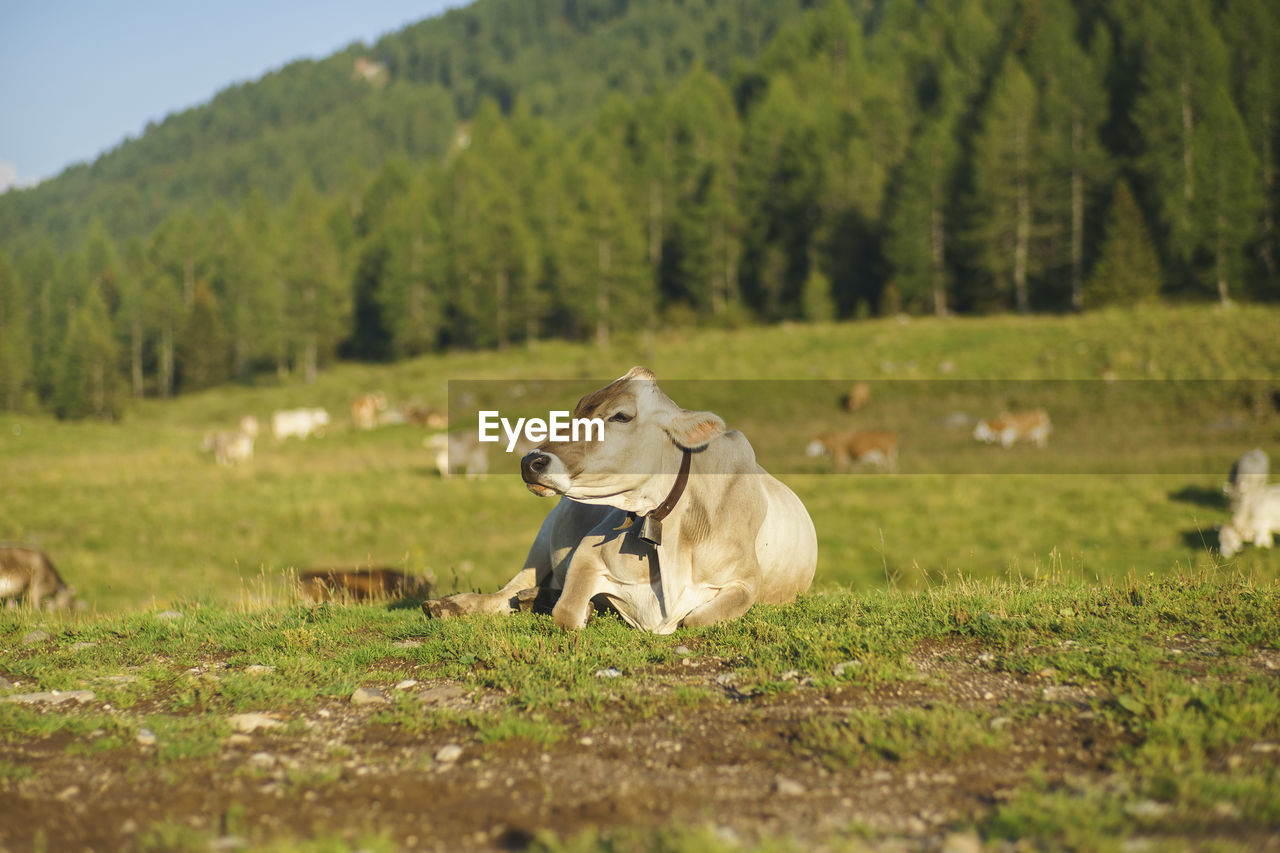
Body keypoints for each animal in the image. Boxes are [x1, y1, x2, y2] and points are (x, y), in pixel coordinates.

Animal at [422, 366, 819, 630]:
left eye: (621, 416)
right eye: (578, 408)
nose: (530, 462)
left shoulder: (747, 581)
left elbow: (696, 620)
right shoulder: (587, 553)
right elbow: (566, 612)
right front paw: (581, 608)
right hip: (545, 534)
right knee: (507, 590)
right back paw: (449, 606)